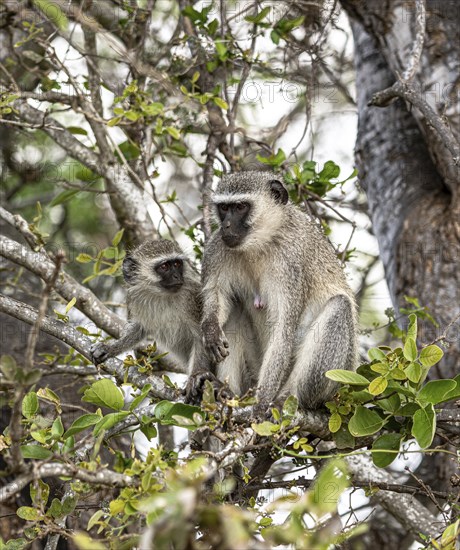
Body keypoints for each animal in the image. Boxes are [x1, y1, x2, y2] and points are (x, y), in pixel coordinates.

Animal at [202, 172, 360, 414]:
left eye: (240, 207)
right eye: (224, 208)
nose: (226, 226)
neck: (260, 243)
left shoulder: (290, 263)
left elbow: (283, 329)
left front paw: (260, 405)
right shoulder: (217, 249)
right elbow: (217, 294)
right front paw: (210, 329)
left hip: (337, 378)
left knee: (339, 306)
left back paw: (287, 398)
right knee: (235, 309)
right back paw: (230, 393)